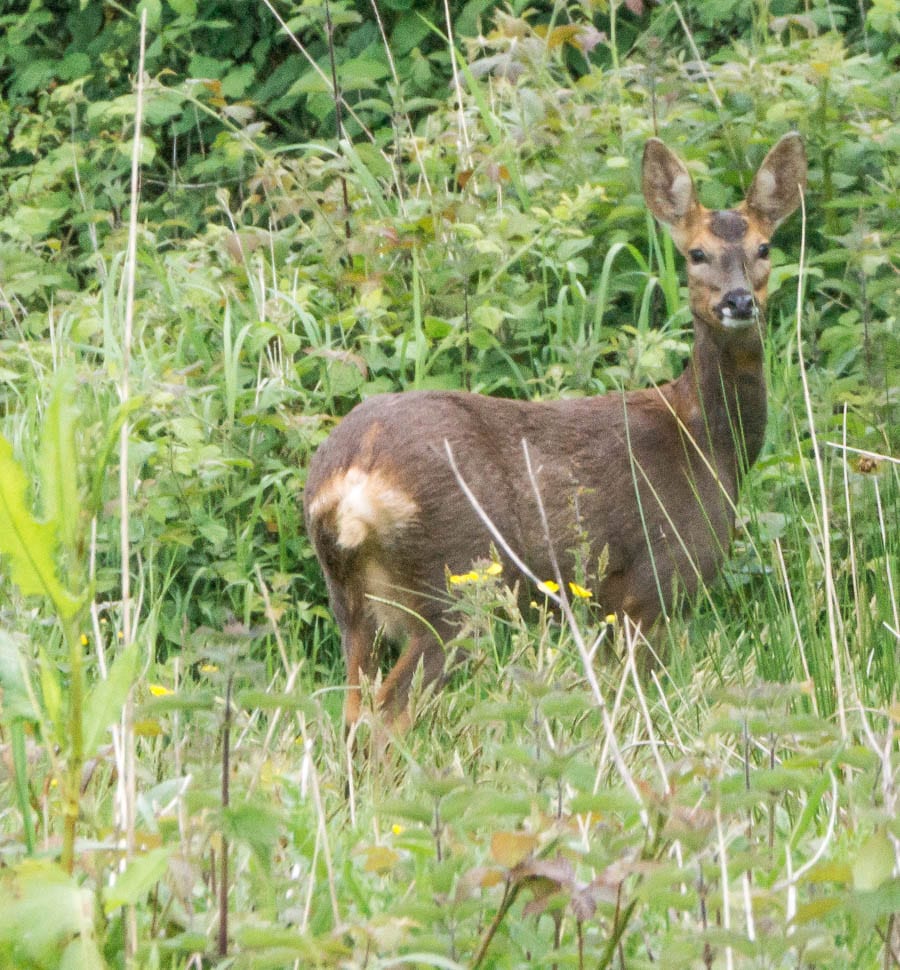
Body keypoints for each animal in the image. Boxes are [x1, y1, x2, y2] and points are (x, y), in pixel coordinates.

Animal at [304, 136, 808, 728]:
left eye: (765, 247)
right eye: (696, 254)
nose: (738, 301)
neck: (707, 444)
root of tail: (350, 480)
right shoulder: (652, 585)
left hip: (351, 600)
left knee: (351, 713)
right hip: (457, 583)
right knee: (388, 713)